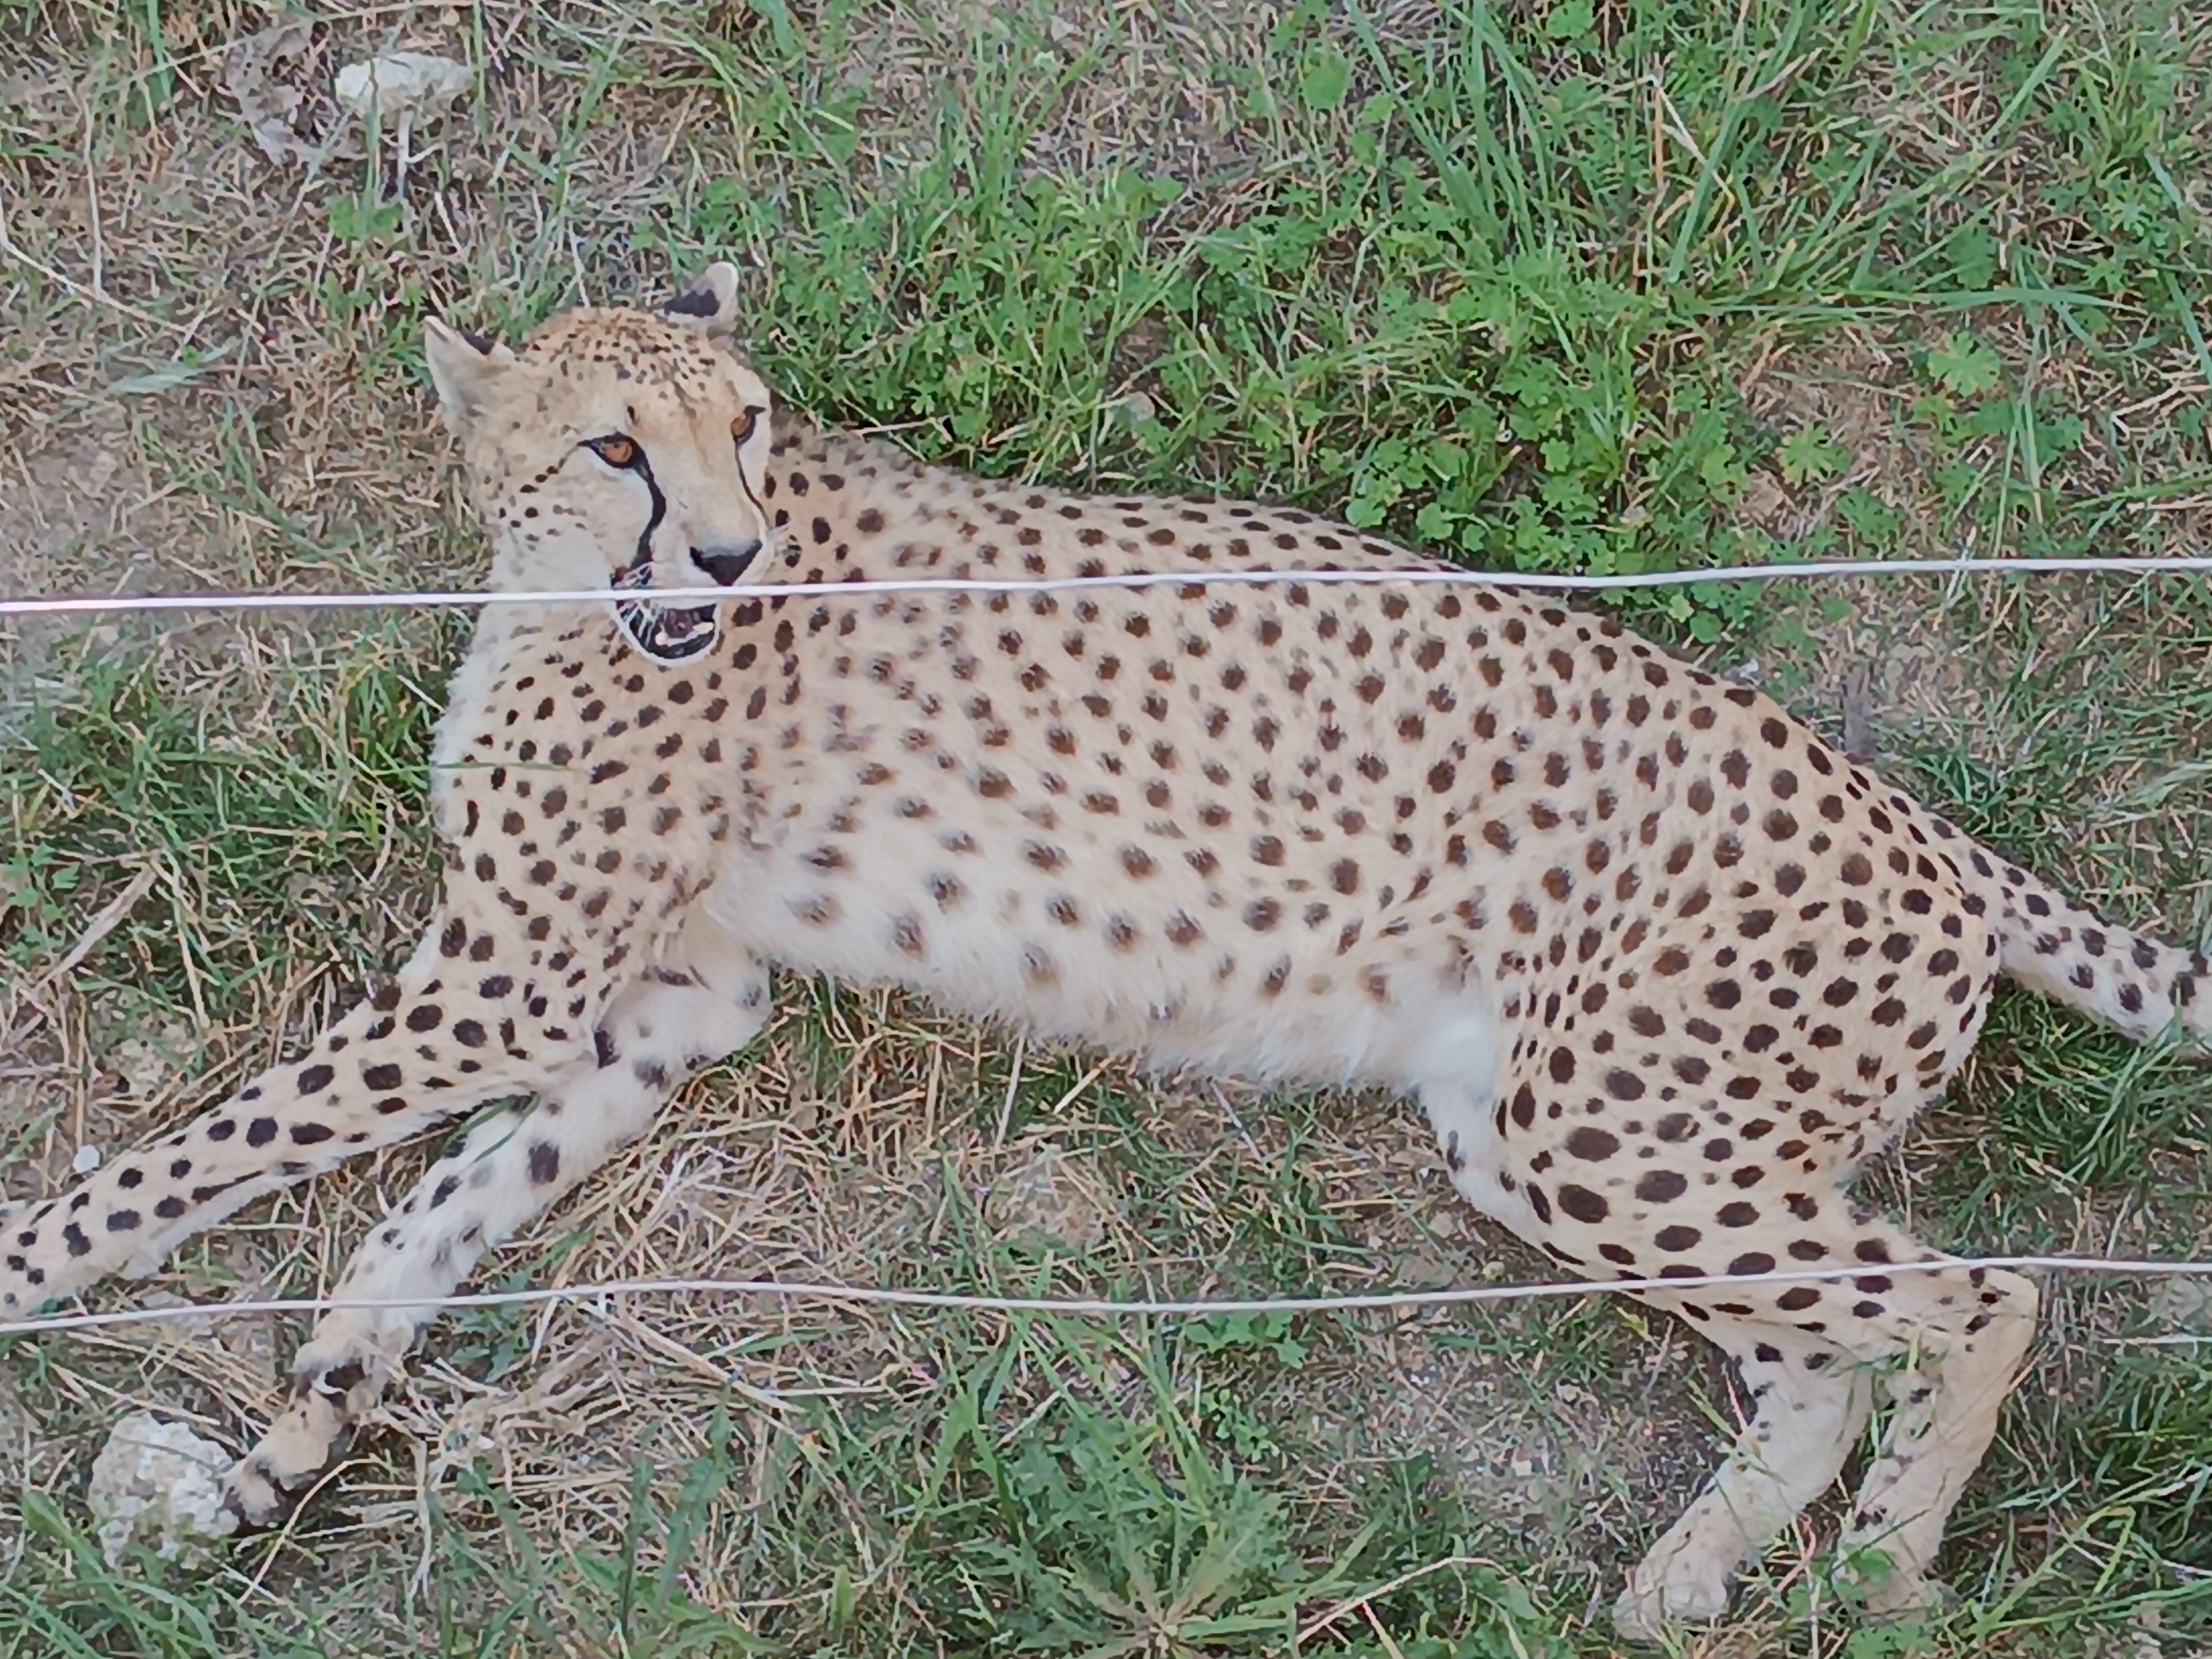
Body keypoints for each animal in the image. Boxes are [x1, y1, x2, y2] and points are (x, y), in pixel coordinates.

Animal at [5, 262, 2205, 1642]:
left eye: (746, 427)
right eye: (618, 445)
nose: (723, 552)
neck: (575, 595)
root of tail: (1927, 822)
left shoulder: (511, 977)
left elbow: (208, 1148)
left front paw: (37, 1267)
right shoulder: (659, 1000)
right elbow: (435, 1206)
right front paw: (316, 1403)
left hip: (1608, 1127)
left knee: (1980, 1291)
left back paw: (1886, 1569)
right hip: (1551, 1136)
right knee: (1827, 1354)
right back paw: (1687, 1580)